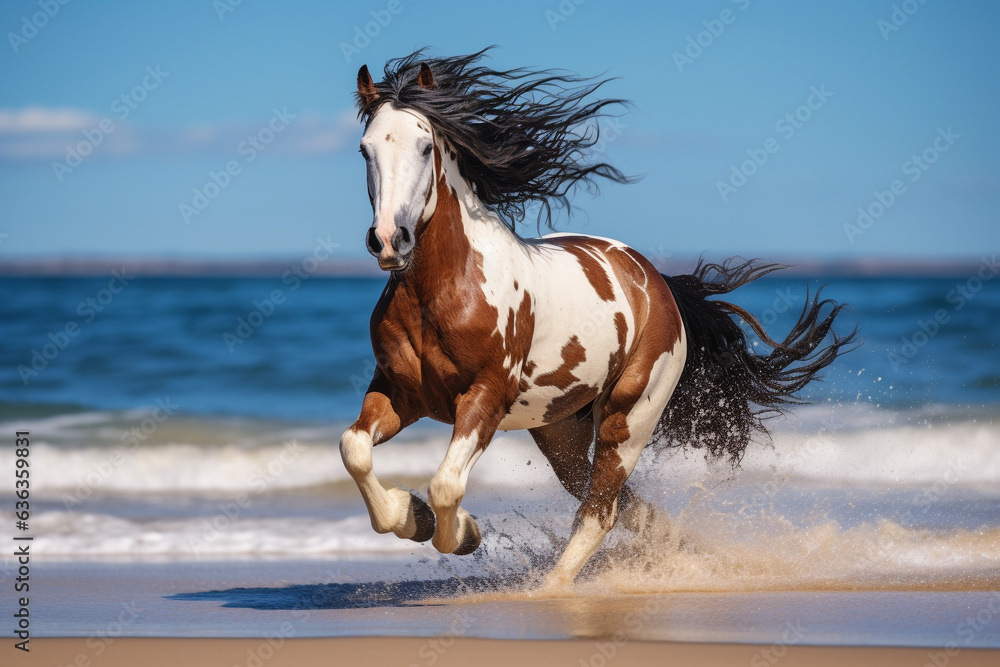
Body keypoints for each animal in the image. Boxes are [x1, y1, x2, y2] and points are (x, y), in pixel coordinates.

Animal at [340, 49, 856, 588]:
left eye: (424, 147)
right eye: (365, 149)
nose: (389, 240)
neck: (440, 293)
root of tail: (657, 282)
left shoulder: (484, 398)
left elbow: (445, 484)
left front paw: (459, 532)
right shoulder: (401, 393)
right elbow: (354, 448)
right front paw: (413, 517)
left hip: (627, 418)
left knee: (600, 509)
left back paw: (553, 588)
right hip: (559, 429)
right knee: (612, 500)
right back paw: (670, 550)